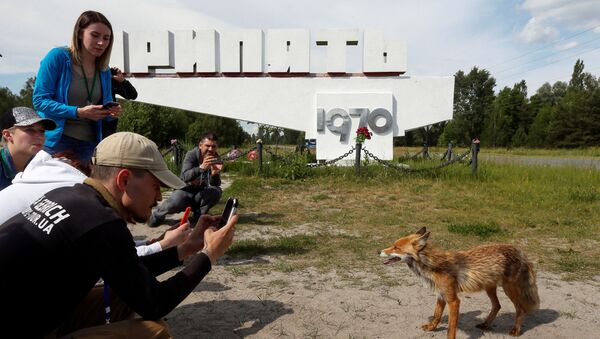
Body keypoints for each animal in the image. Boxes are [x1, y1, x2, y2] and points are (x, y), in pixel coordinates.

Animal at [382, 228, 540, 339]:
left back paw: (515, 330)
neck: (434, 265)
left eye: (396, 248)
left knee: (520, 308)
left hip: (509, 289)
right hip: (489, 287)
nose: (380, 251)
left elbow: (451, 329)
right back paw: (486, 324)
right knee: (497, 305)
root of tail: (519, 250)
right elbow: (436, 315)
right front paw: (432, 328)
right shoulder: (441, 295)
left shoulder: (453, 301)